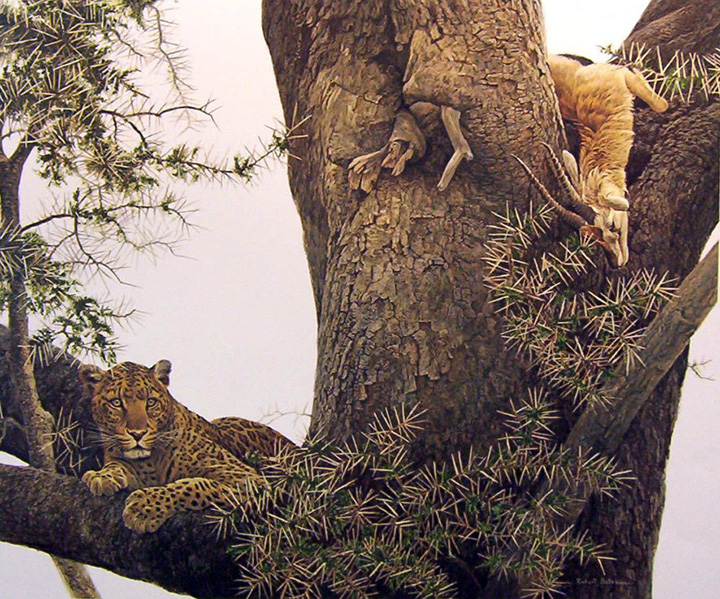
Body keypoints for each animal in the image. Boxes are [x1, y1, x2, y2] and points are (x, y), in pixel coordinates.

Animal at [79, 359, 294, 533]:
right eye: (116, 403)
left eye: (151, 402)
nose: (137, 434)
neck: (149, 463)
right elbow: (115, 464)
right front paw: (102, 476)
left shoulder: (244, 477)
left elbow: (194, 485)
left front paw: (144, 508)